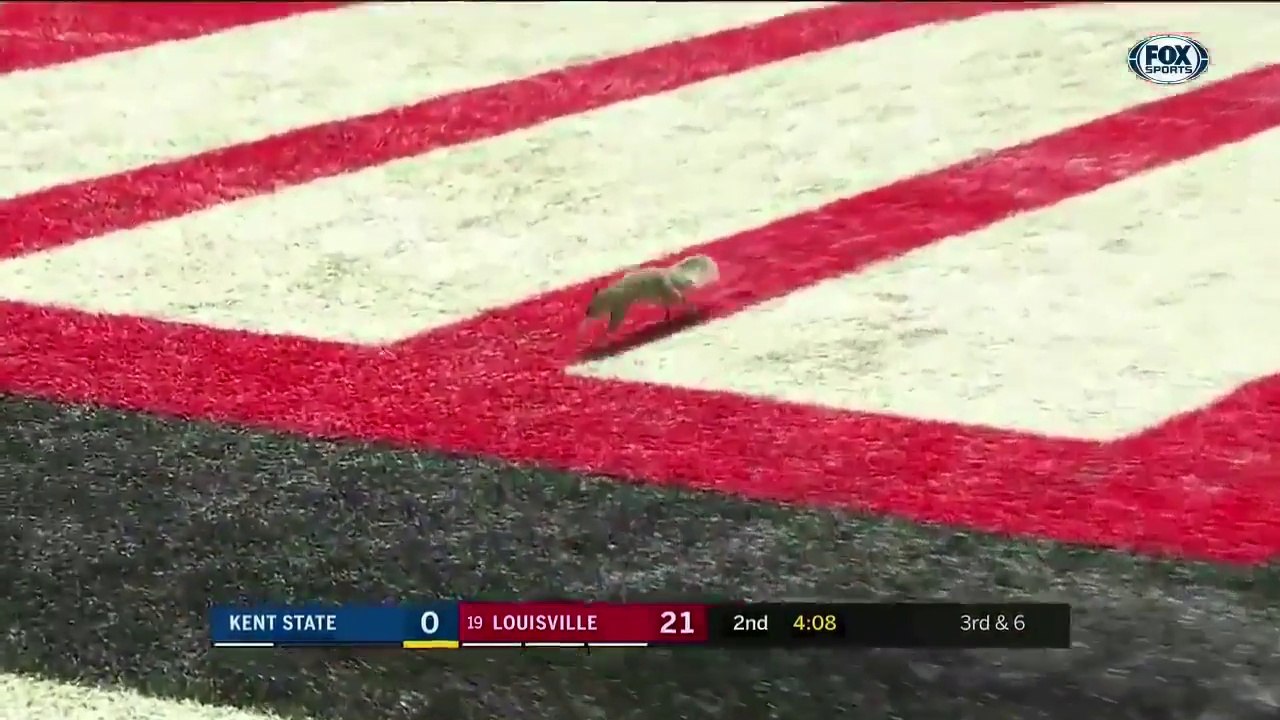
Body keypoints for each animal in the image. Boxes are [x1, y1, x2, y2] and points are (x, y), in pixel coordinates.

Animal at [584, 254, 719, 332]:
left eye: (590, 307)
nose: (586, 313)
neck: (611, 294)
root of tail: (670, 274)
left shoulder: (621, 305)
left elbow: (616, 318)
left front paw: (609, 330)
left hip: (669, 293)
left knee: (683, 299)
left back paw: (692, 311)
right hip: (662, 297)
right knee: (672, 304)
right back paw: (666, 319)